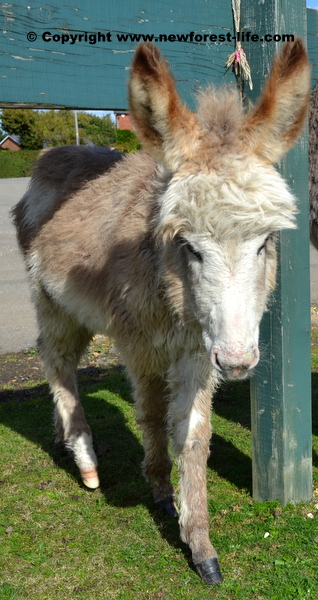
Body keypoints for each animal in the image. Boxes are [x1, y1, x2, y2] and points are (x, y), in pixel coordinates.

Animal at [13, 39, 310, 584]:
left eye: (265, 244)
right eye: (188, 246)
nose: (238, 362)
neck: (176, 301)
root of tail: (58, 153)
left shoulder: (198, 350)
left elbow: (194, 437)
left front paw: (201, 545)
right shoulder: (140, 345)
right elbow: (151, 415)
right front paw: (159, 492)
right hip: (51, 301)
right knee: (55, 357)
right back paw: (84, 457)